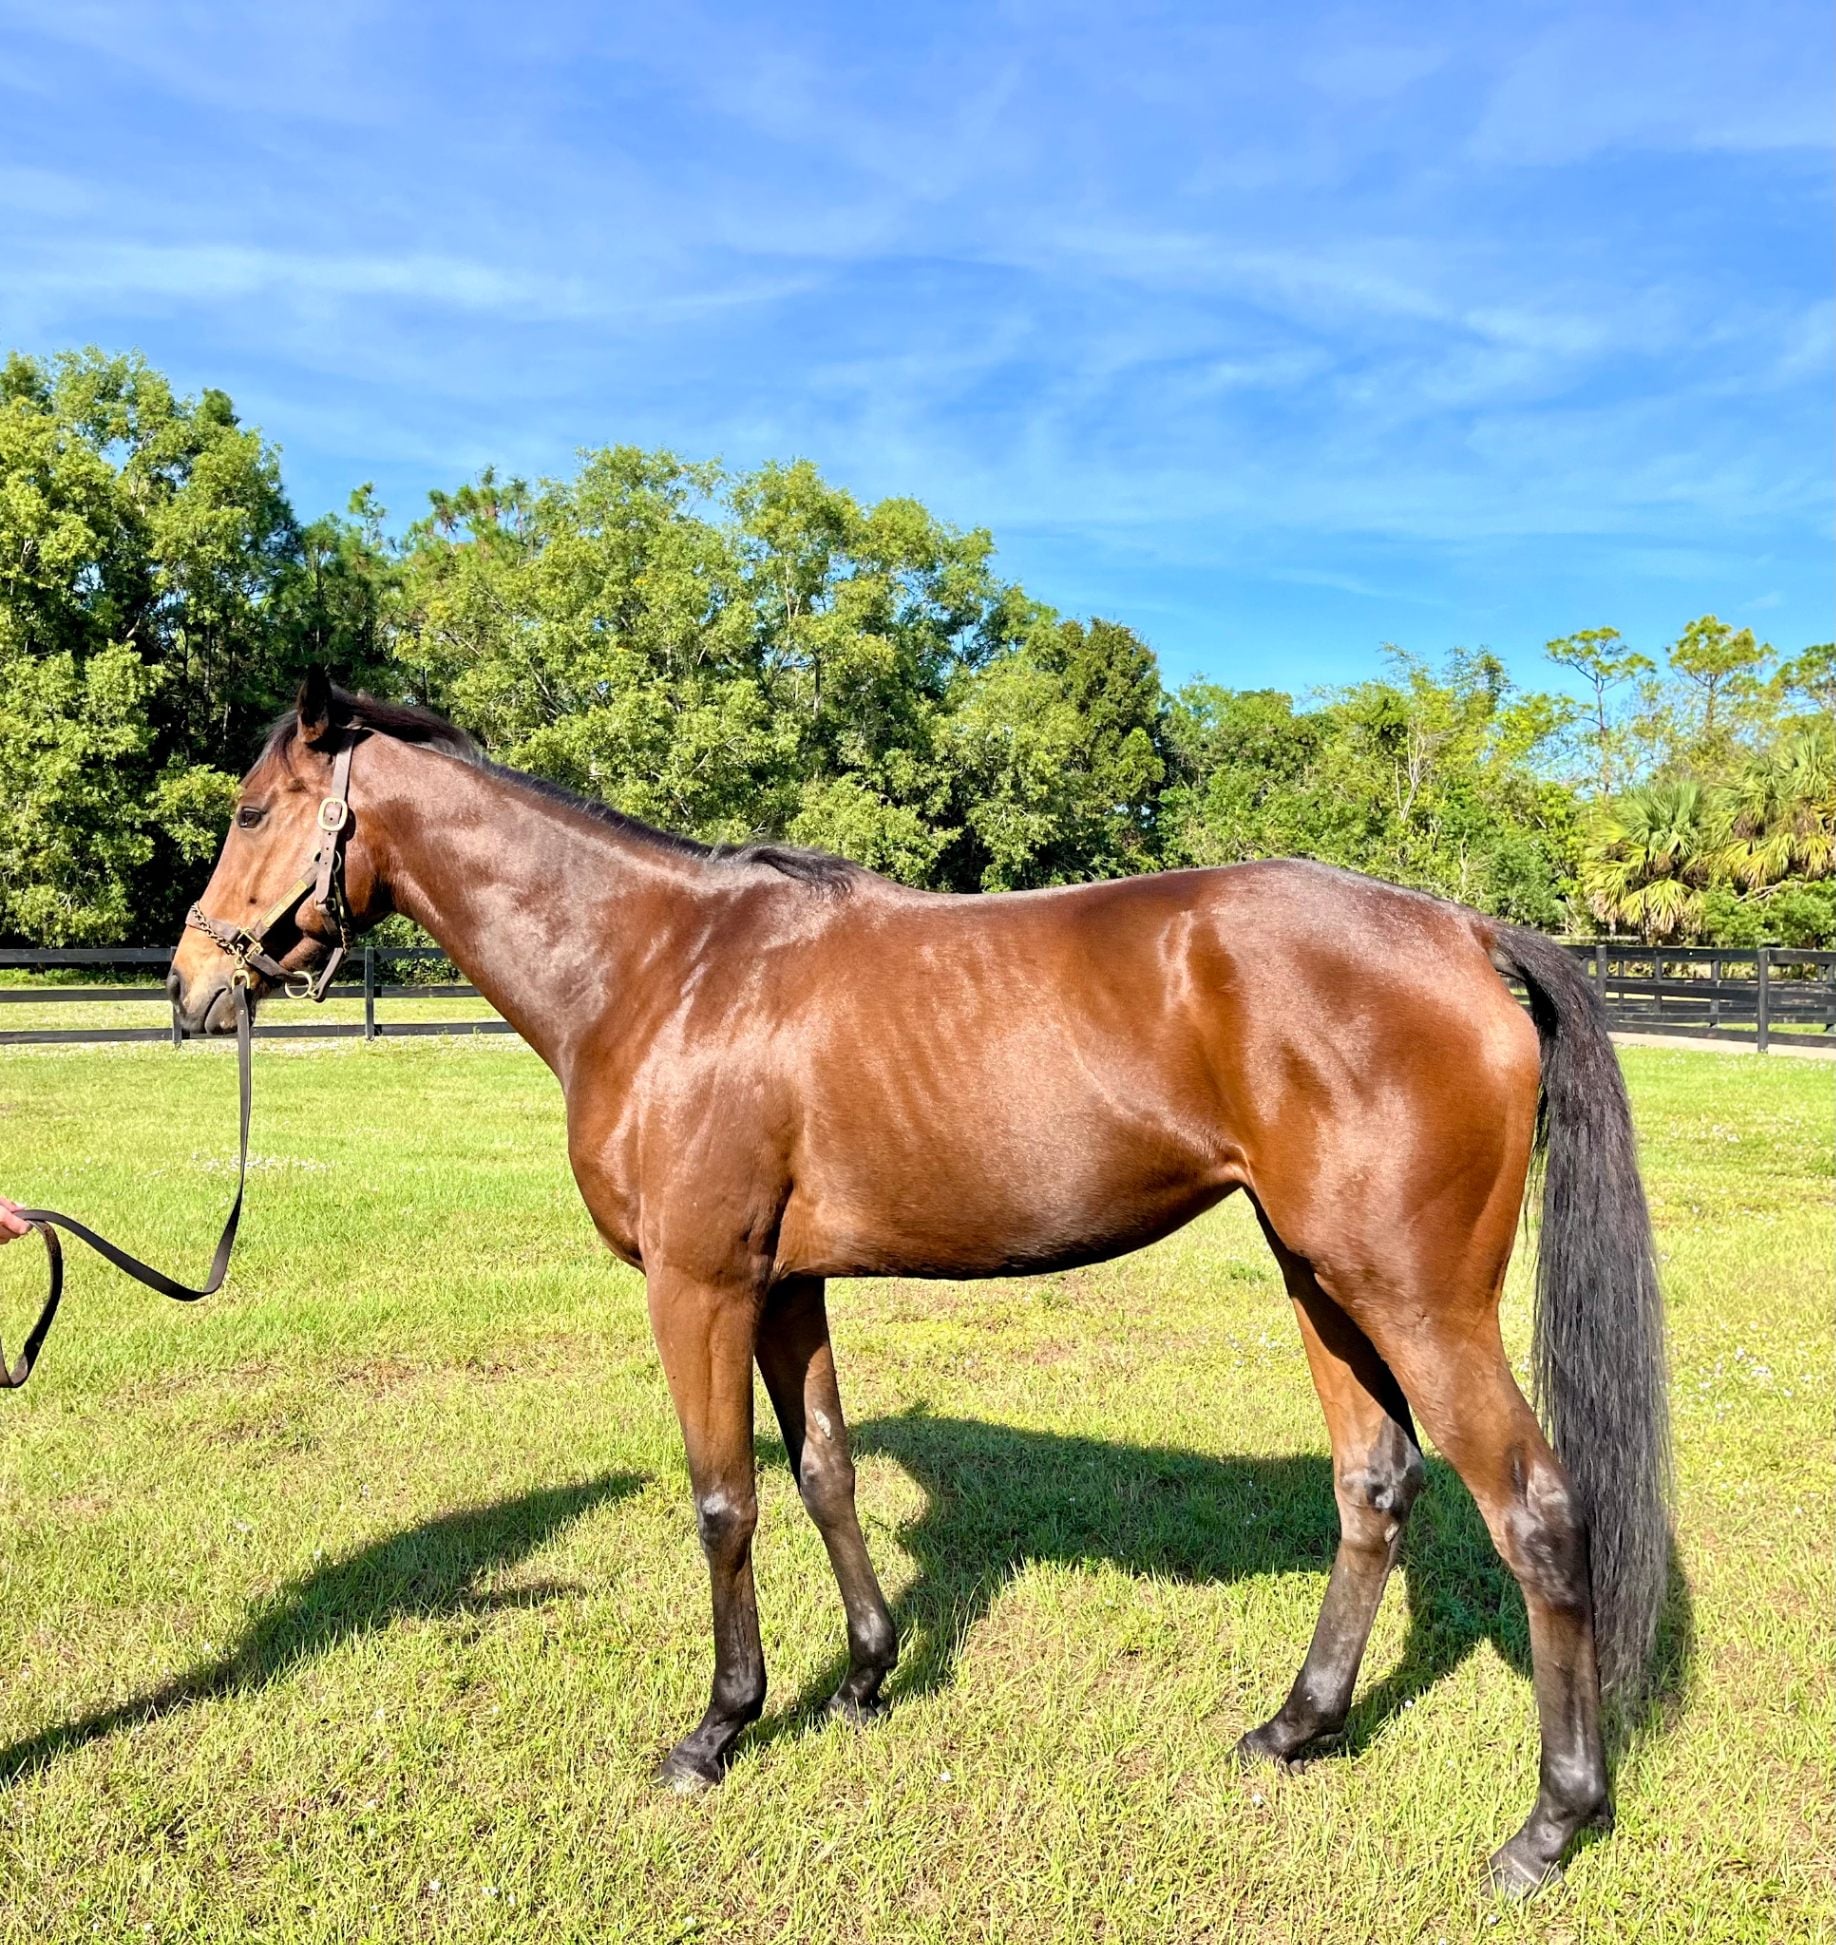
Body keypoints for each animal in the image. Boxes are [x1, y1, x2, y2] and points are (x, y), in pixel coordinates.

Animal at [166, 669, 1670, 1894]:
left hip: (1417, 1300)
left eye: (249, 810)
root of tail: (1463, 930)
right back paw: (1296, 1728)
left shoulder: (699, 1285)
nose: (187, 982)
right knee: (1375, 1486)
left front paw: (720, 1727)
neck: (661, 969)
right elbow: (823, 1468)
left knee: (1537, 1515)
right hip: (1323, 1279)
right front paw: (866, 1674)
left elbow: (724, 1500)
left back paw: (1547, 1827)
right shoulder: (786, 1286)